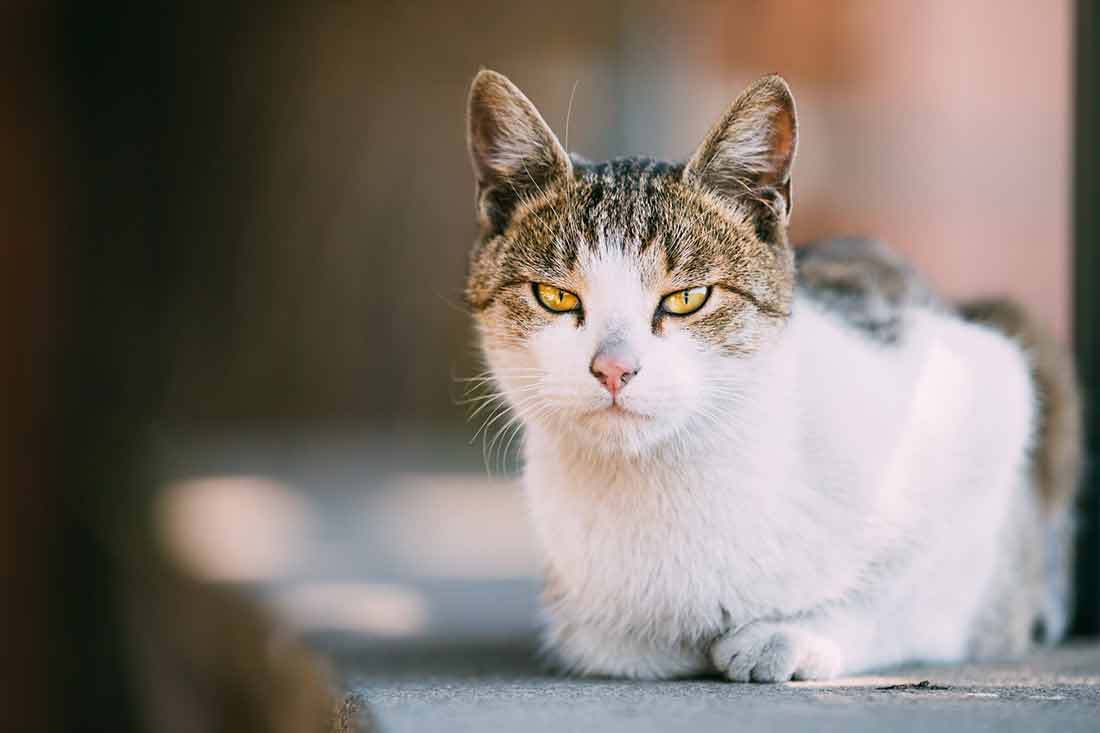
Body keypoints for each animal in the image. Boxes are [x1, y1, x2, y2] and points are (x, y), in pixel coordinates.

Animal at [459, 69, 1078, 677]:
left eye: (687, 298)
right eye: (555, 296)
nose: (614, 368)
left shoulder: (982, 388)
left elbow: (911, 594)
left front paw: (794, 633)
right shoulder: (595, 633)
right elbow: (610, 644)